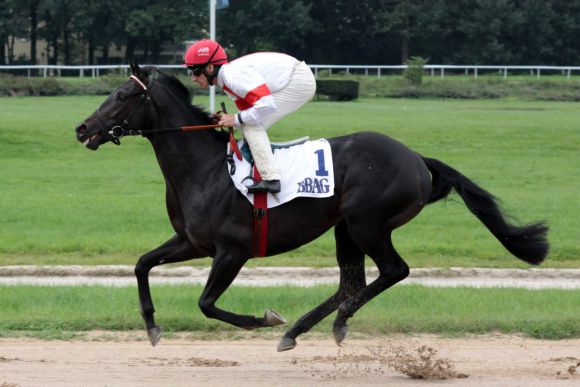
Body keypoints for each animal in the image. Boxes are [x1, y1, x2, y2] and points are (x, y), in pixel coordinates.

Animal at [76, 65, 548, 354]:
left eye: (122, 94)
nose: (82, 129)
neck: (206, 168)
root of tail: (416, 158)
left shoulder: (232, 251)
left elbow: (207, 303)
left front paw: (263, 318)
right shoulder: (192, 242)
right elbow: (142, 264)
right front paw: (152, 327)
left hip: (367, 222)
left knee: (392, 271)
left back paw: (332, 323)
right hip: (345, 227)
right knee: (351, 282)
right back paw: (299, 330)